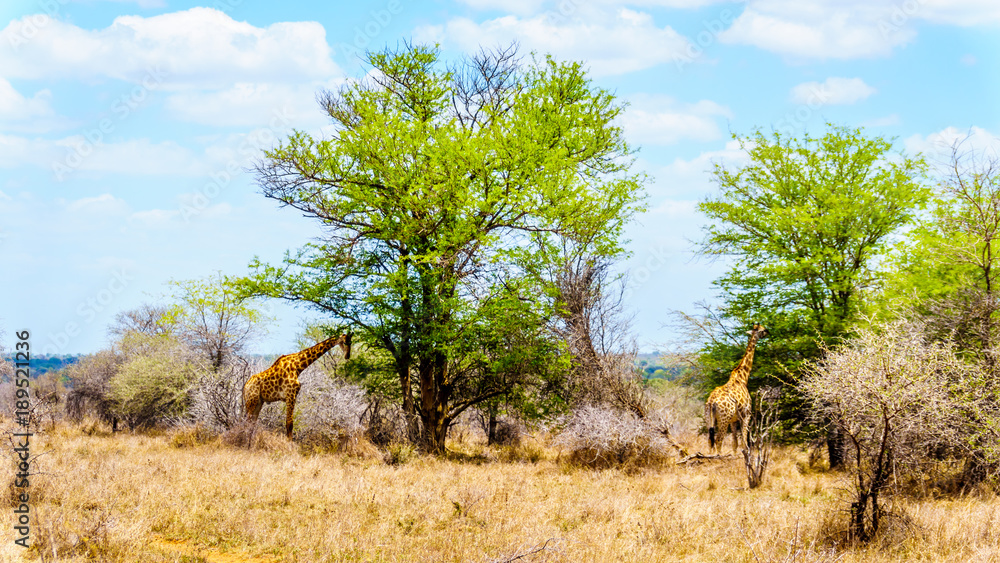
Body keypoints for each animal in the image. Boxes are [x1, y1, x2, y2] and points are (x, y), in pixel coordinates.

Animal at [705, 323, 767, 455]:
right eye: (762, 330)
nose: (768, 332)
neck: (743, 378)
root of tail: (712, 402)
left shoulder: (733, 420)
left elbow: (735, 443)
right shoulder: (746, 415)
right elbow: (744, 442)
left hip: (709, 417)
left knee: (710, 441)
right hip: (723, 419)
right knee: (719, 440)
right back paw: (718, 456)